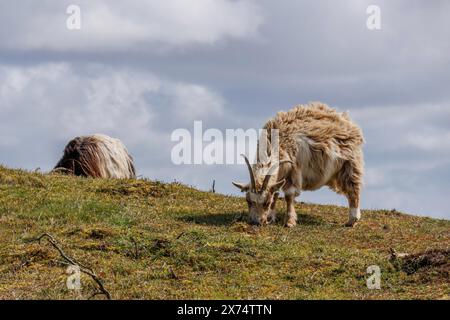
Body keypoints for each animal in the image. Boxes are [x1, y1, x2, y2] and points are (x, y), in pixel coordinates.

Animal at [234, 102, 364, 228]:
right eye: (248, 201)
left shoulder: (293, 170)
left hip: (349, 163)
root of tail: (345, 119)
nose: (255, 222)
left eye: (266, 203)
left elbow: (289, 196)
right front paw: (271, 218)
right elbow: (276, 192)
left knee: (353, 189)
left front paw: (289, 222)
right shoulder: (281, 174)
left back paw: (352, 220)